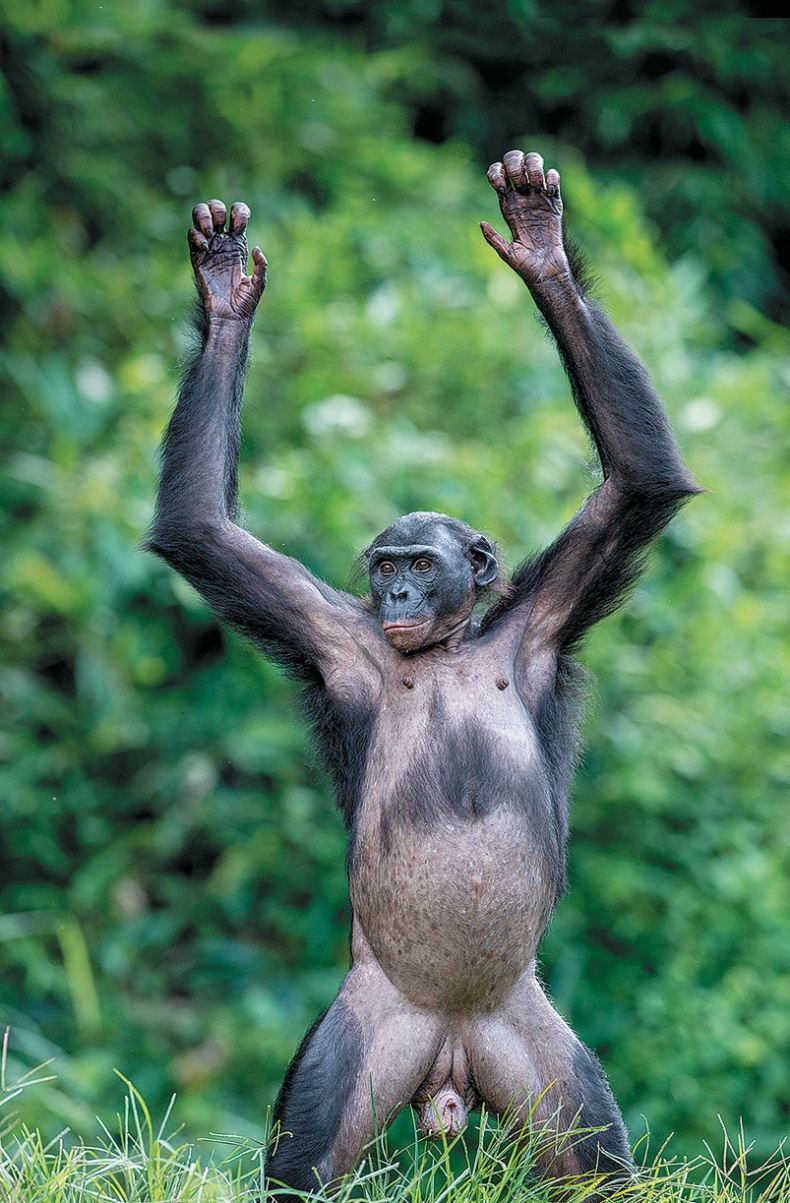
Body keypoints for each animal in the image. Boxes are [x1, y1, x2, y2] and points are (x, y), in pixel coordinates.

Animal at [147, 150, 699, 1199]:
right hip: (369, 1034)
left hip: (537, 1051)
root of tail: (449, 1063)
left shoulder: (545, 616)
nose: (397, 592)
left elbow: (637, 483)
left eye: (418, 561)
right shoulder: (330, 634)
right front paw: (225, 294)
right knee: (309, 1157)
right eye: (383, 568)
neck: (445, 648)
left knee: (596, 1165)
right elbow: (203, 531)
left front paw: (540, 245)